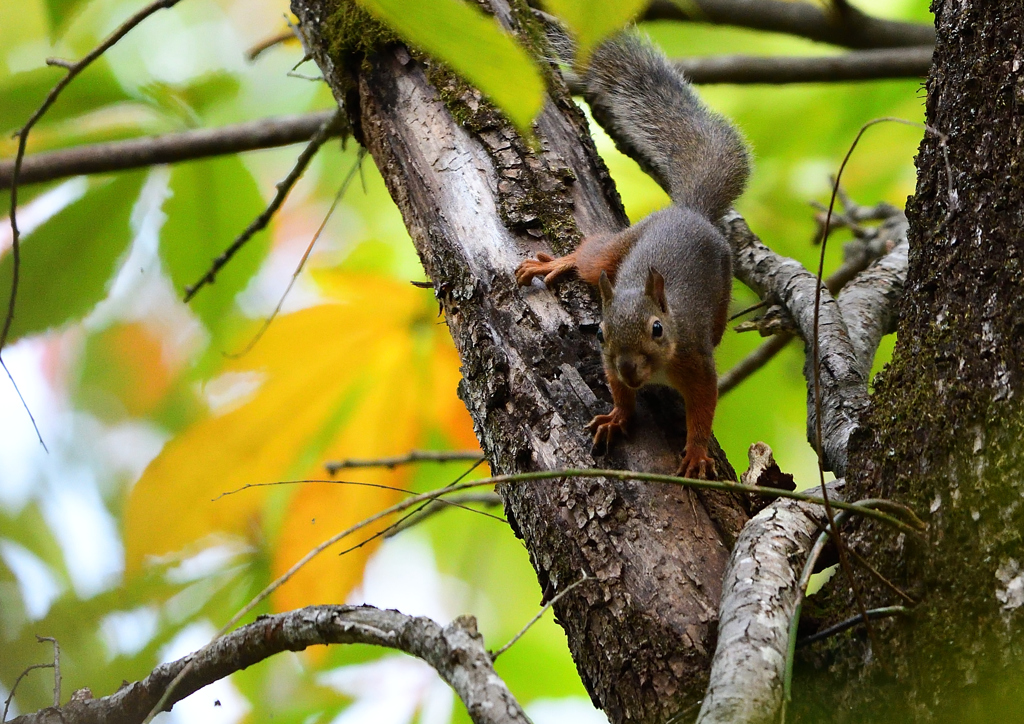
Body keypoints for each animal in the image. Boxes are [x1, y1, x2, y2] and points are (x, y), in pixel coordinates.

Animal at [516, 31, 749, 481]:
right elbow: (620, 393)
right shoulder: (609, 363)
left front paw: (697, 454)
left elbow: (703, 410)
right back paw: (554, 263)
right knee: (590, 258)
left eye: (657, 329)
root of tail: (688, 211)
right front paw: (616, 417)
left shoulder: (696, 363)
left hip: (721, 289)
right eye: (600, 333)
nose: (628, 367)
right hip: (619, 248)